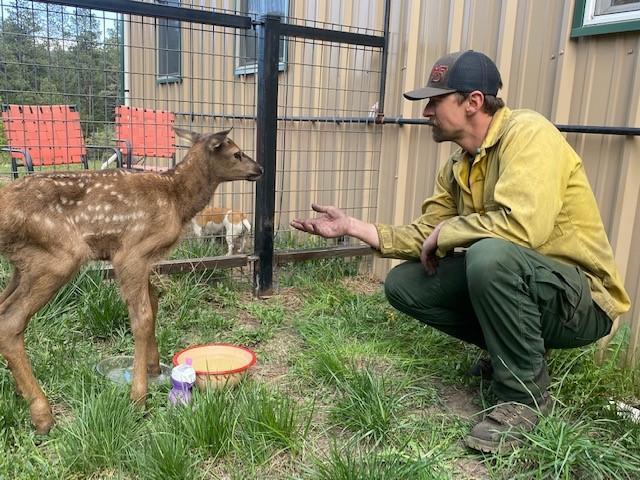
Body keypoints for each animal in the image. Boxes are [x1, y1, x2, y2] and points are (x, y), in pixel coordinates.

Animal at [0, 127, 262, 436]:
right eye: (237, 153)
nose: (258, 169)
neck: (176, 199)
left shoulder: (145, 259)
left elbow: (154, 301)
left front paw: (153, 368)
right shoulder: (131, 252)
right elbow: (143, 317)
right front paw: (139, 396)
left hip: (23, 265)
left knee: (3, 309)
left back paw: (20, 392)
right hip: (58, 258)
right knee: (11, 322)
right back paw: (43, 415)